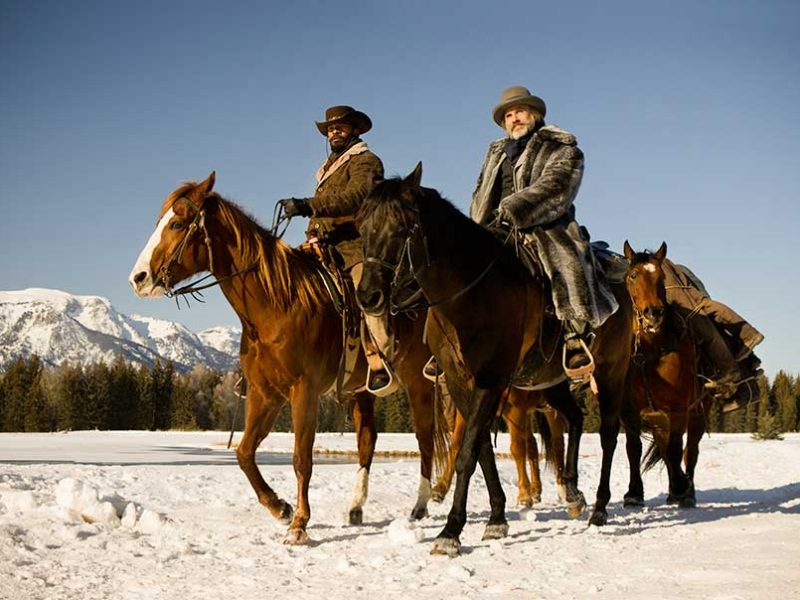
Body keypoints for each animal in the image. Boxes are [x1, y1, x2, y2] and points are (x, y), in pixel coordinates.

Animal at [128, 171, 446, 540]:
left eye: (178, 223)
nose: (138, 278)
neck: (277, 304)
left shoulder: (303, 391)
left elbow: (301, 459)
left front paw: (299, 525)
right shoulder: (264, 394)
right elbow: (244, 453)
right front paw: (280, 507)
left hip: (419, 381)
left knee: (425, 438)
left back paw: (420, 506)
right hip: (362, 392)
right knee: (368, 440)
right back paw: (356, 507)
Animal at [354, 163, 632, 552]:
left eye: (403, 227)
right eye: (362, 226)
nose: (368, 296)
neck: (468, 296)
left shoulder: (491, 379)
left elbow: (468, 452)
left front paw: (451, 531)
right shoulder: (460, 382)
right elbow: (482, 448)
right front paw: (497, 518)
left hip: (610, 372)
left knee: (607, 434)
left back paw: (600, 508)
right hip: (551, 381)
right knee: (576, 418)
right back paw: (573, 492)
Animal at [624, 240, 712, 506]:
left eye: (661, 277)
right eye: (633, 275)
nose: (653, 313)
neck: (650, 352)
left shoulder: (679, 408)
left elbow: (675, 449)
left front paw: (681, 487)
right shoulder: (628, 410)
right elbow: (633, 449)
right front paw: (634, 494)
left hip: (697, 413)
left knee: (689, 451)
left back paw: (686, 491)